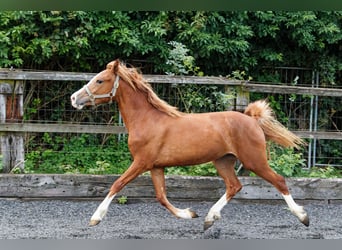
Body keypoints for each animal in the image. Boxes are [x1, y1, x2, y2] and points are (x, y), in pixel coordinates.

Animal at [71, 60, 308, 230]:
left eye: (100, 80)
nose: (74, 99)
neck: (147, 120)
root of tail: (251, 119)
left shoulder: (141, 162)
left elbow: (117, 184)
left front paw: (95, 218)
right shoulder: (156, 166)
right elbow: (161, 197)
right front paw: (189, 213)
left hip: (254, 160)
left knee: (279, 181)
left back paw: (303, 217)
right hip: (223, 161)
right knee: (234, 186)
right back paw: (209, 218)